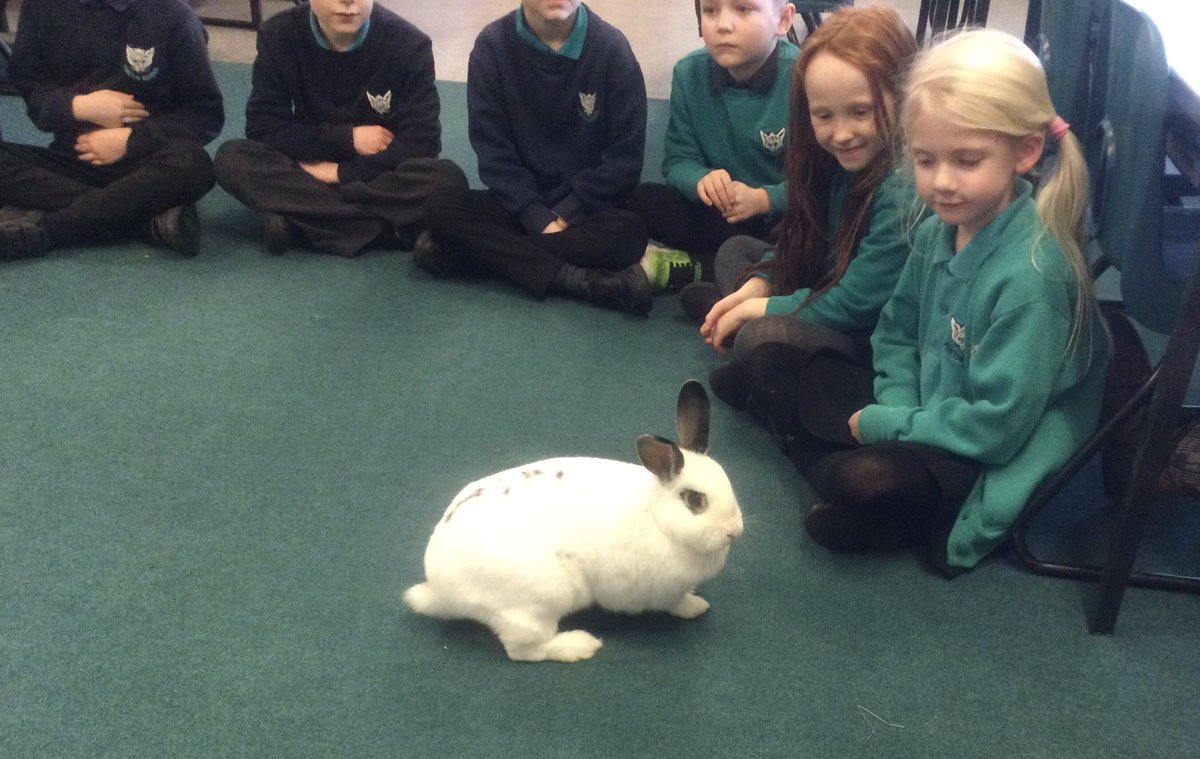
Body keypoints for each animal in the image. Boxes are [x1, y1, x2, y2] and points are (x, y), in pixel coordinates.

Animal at [404, 380, 743, 663]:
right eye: (695, 500)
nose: (734, 531)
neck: (658, 518)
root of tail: (439, 588)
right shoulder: (663, 591)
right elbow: (676, 603)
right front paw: (695, 608)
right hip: (539, 601)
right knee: (523, 650)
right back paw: (579, 645)